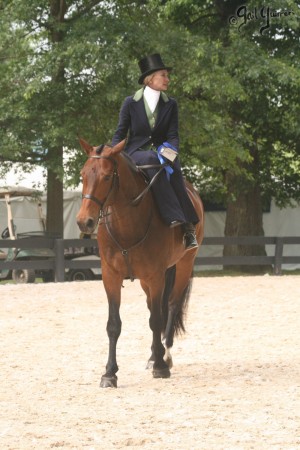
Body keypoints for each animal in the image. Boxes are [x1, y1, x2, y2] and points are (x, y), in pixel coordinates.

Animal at [76, 140, 205, 386]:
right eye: (83, 175)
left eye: (107, 176)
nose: (84, 221)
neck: (127, 223)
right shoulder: (111, 276)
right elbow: (113, 325)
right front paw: (110, 373)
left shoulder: (156, 276)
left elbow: (156, 320)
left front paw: (161, 367)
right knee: (154, 308)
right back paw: (154, 356)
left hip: (183, 265)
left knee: (171, 306)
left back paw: (165, 355)